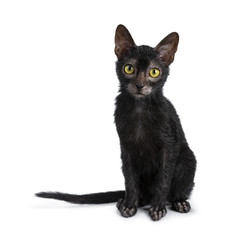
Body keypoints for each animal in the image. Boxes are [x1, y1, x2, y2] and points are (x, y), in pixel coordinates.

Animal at [36, 24, 197, 221]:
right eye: (129, 69)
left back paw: (179, 202)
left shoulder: (170, 146)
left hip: (188, 159)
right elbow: (130, 180)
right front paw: (129, 205)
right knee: (141, 192)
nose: (140, 85)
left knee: (178, 189)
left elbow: (164, 179)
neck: (140, 110)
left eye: (154, 71)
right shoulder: (126, 148)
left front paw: (158, 208)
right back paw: (128, 201)